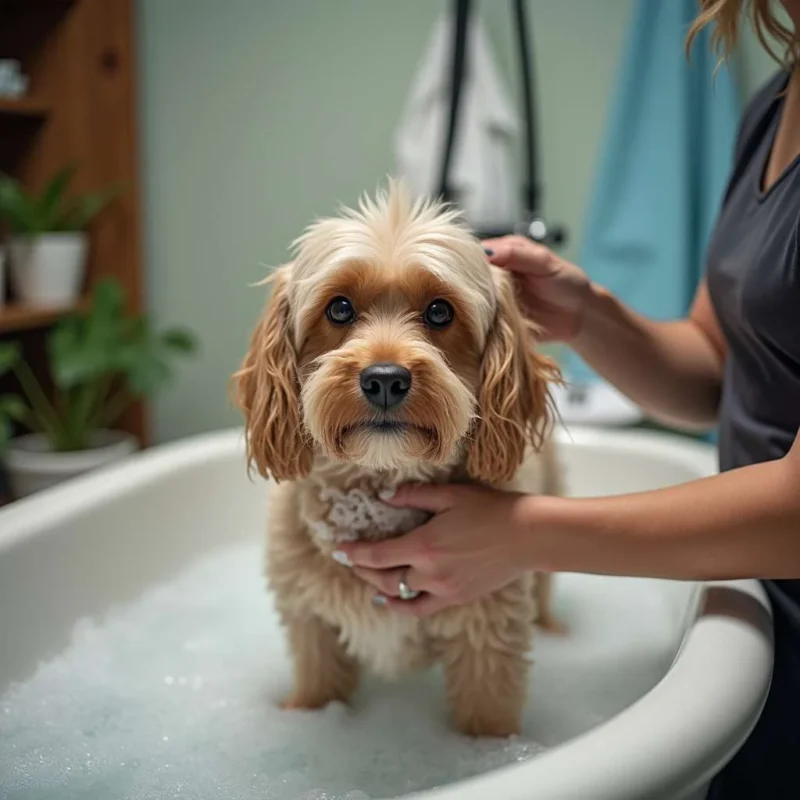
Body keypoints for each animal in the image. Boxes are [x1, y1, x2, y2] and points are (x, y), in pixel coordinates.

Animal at [234, 181, 564, 736]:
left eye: (440, 312)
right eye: (339, 308)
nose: (385, 378)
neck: (377, 490)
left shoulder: (488, 637)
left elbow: (488, 721)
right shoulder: (312, 629)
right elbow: (317, 688)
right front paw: (303, 717)